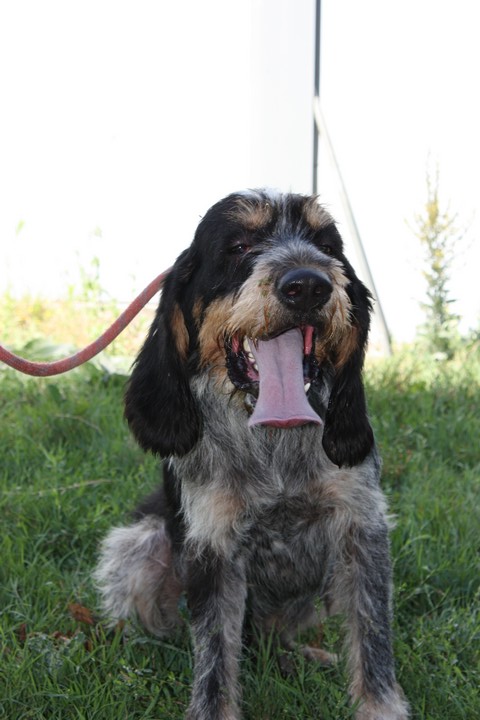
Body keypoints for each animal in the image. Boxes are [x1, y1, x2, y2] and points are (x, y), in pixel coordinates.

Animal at [94, 191, 408, 720]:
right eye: (239, 245)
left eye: (327, 246)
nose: (308, 286)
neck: (273, 445)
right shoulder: (212, 547)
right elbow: (214, 662)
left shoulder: (361, 529)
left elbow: (372, 638)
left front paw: (380, 707)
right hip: (141, 544)